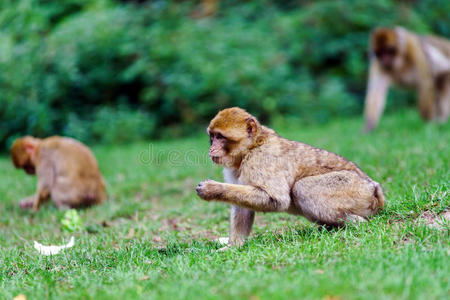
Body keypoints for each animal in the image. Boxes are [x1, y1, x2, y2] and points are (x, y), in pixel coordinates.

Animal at [195, 107, 384, 246]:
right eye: (212, 137)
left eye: (220, 137)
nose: (211, 149)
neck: (251, 148)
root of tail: (373, 188)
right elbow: (243, 209)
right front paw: (234, 245)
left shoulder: (262, 159)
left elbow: (277, 199)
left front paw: (212, 189)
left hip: (354, 190)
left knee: (302, 188)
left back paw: (356, 223)